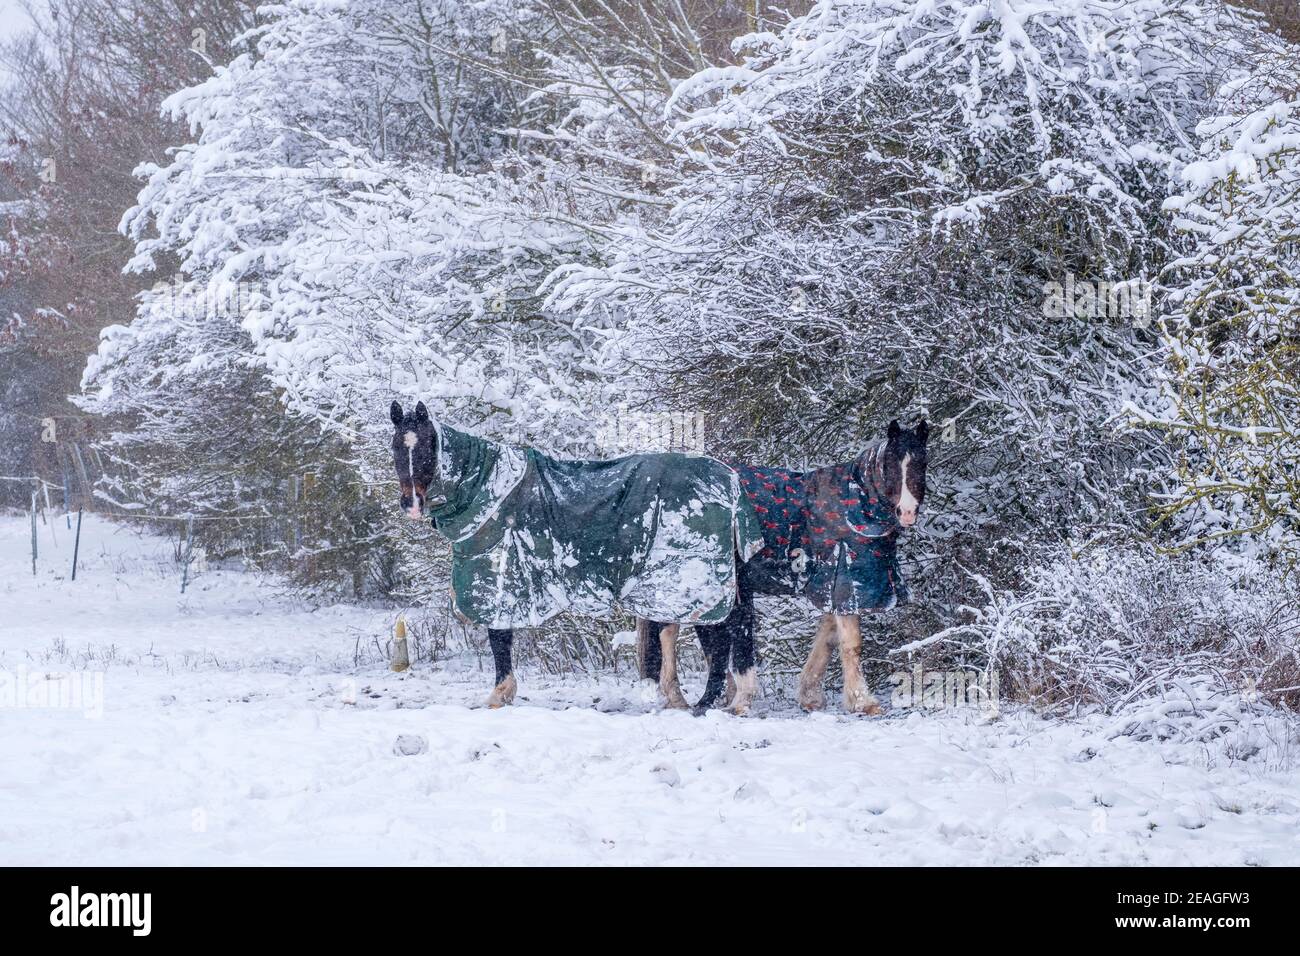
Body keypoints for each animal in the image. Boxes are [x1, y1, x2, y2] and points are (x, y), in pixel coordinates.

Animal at [390, 403, 764, 712]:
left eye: (427, 446)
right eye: (395, 447)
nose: (411, 504)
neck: (489, 495)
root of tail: (730, 482)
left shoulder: (500, 584)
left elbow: (500, 641)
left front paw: (499, 694)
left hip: (695, 585)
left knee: (725, 634)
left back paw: (720, 701)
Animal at [637, 421, 925, 712]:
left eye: (920, 464)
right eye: (890, 465)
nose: (907, 512)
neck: (852, 509)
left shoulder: (831, 586)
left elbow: (828, 638)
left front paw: (810, 695)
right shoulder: (845, 582)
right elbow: (851, 644)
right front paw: (864, 701)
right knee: (669, 632)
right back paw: (680, 698)